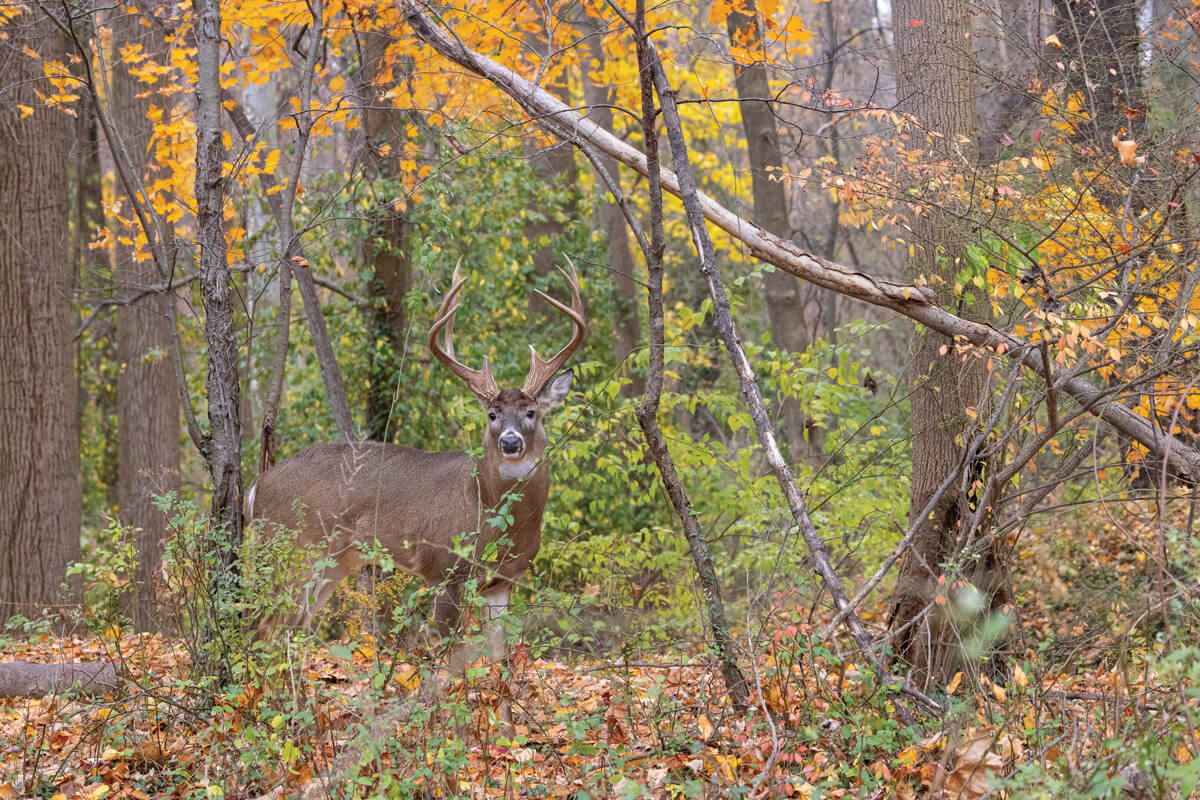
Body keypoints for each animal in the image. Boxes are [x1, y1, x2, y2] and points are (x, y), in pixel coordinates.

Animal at [246, 260, 583, 681]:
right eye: (491, 414)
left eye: (532, 412)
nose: (509, 442)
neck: (488, 509)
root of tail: (257, 485)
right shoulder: (443, 568)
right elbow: (449, 657)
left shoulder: (502, 581)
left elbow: (498, 655)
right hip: (291, 549)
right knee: (267, 625)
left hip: (332, 563)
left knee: (292, 626)